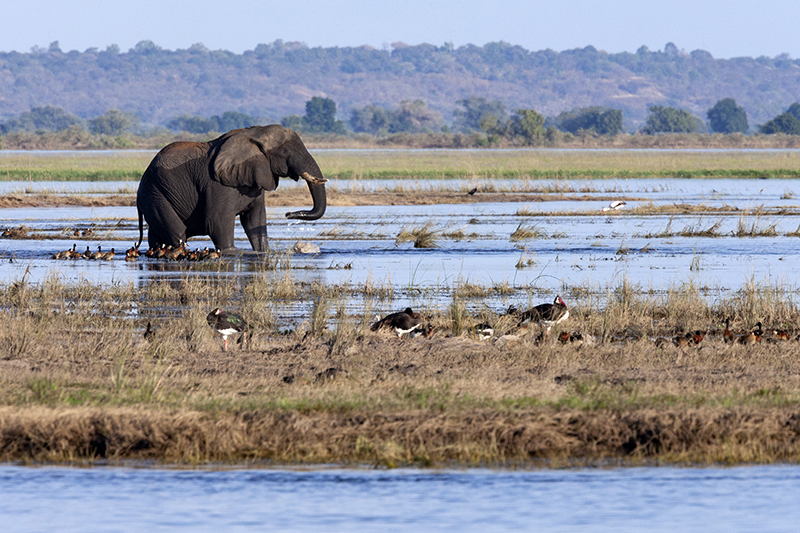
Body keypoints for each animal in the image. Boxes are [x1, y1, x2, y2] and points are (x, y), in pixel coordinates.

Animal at [135, 124, 327, 253]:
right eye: (286, 151)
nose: (288, 214)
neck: (254, 132)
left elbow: (254, 220)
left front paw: (263, 251)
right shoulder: (218, 184)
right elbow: (217, 221)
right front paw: (231, 252)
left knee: (157, 237)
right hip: (154, 195)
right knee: (178, 233)